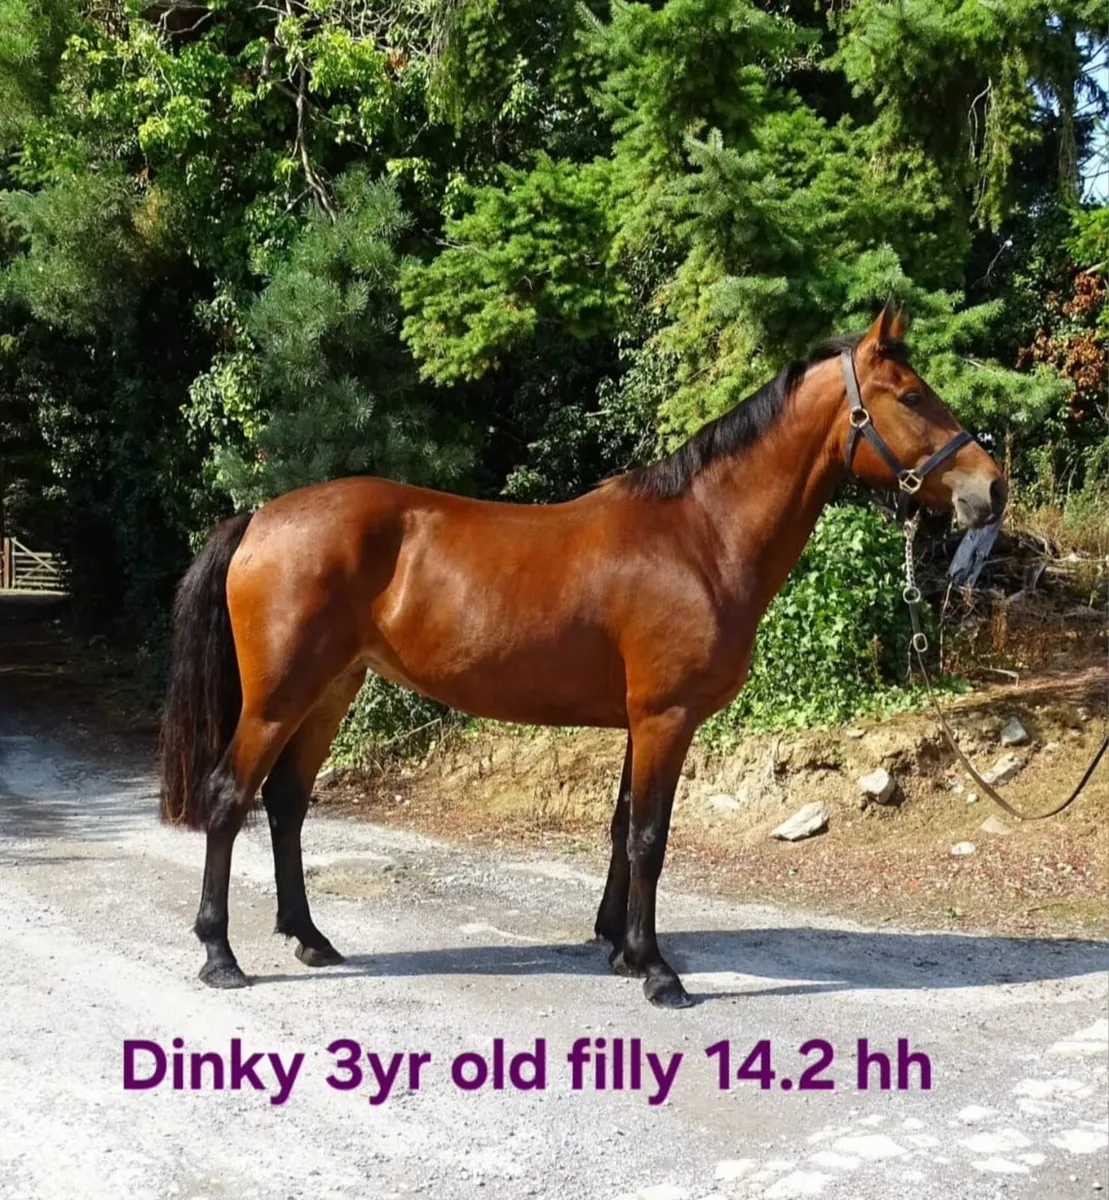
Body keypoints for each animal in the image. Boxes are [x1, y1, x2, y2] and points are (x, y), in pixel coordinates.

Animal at [158, 305, 1006, 1007]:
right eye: (911, 395)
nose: (990, 490)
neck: (699, 537)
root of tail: (260, 518)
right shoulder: (665, 717)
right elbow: (649, 838)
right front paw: (658, 973)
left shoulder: (641, 720)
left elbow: (622, 825)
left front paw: (622, 951)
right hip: (278, 697)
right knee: (229, 796)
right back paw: (220, 955)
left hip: (330, 690)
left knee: (286, 803)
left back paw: (309, 938)